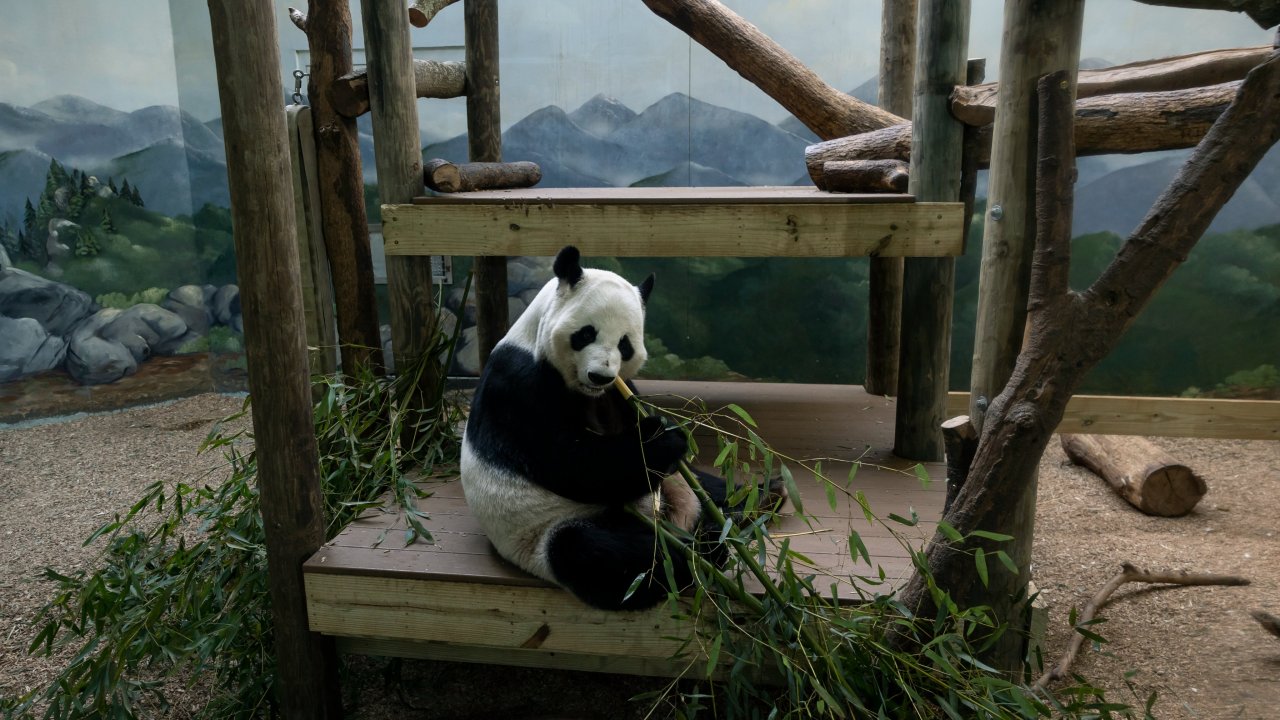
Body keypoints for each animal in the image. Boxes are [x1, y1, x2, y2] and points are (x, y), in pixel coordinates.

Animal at [460, 246, 746, 611]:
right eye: (586, 334)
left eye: (625, 344)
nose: (600, 375)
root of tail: (671, 520)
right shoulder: (518, 387)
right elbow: (575, 464)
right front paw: (665, 438)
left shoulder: (618, 393)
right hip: (548, 529)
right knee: (601, 552)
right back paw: (705, 550)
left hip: (675, 492)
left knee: (702, 489)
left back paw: (755, 500)